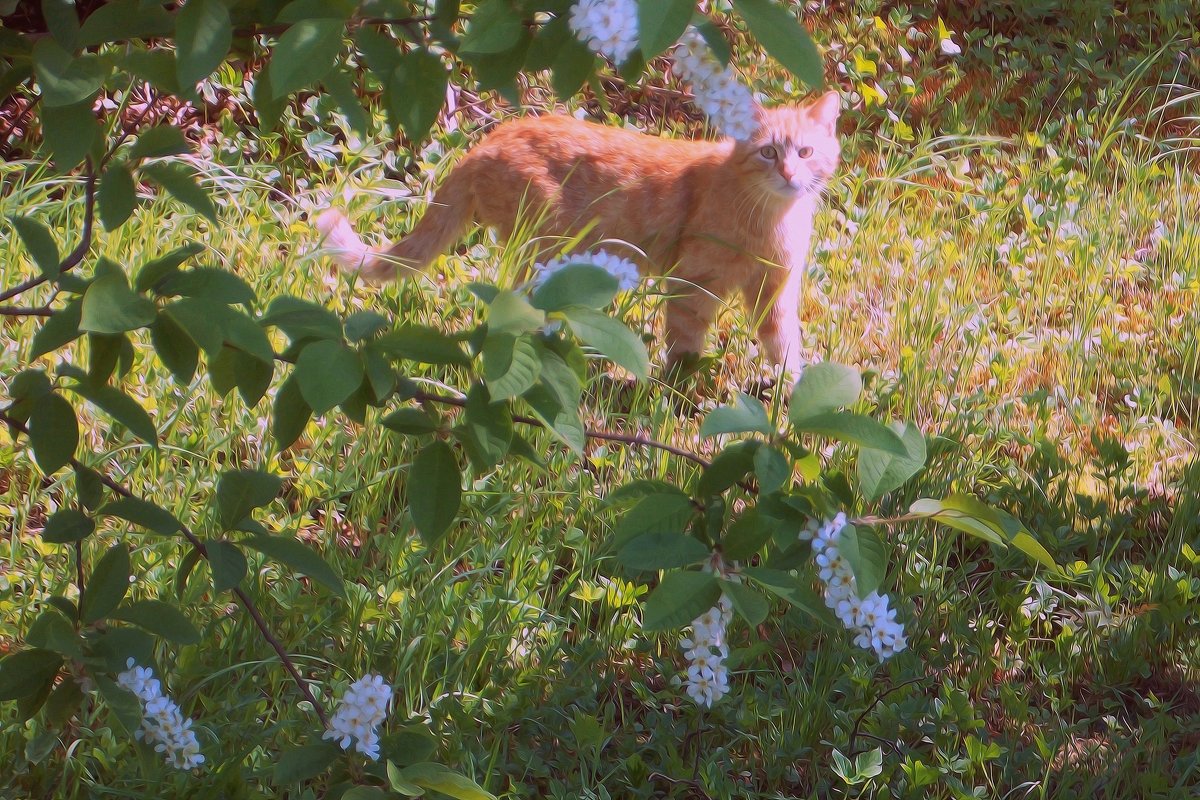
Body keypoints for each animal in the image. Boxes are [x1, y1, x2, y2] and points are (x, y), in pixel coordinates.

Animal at [321, 90, 844, 379]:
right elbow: (686, 338)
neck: (771, 219)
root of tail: (488, 140)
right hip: (545, 251)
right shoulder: (693, 281)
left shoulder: (776, 290)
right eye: (768, 153)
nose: (790, 175)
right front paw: (680, 386)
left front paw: (790, 390)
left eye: (805, 151)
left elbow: (782, 342)